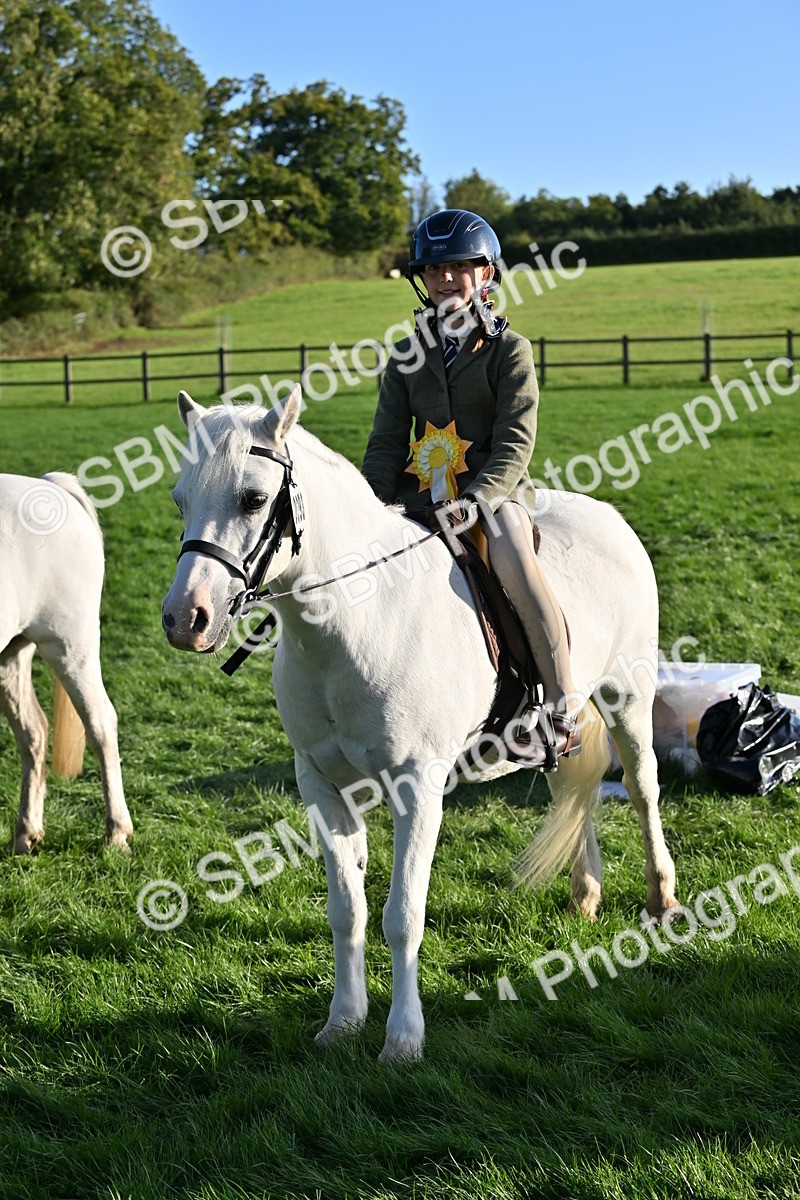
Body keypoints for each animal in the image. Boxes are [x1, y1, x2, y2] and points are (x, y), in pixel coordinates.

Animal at [0, 472, 133, 854]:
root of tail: (51, 484)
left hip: (71, 647)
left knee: (101, 724)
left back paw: (117, 833)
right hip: (11, 655)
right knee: (32, 732)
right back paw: (25, 833)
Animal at [162, 387, 678, 1062]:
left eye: (252, 498)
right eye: (180, 498)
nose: (185, 618)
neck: (353, 624)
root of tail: (609, 518)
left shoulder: (416, 789)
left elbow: (402, 914)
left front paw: (403, 1040)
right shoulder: (323, 786)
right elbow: (347, 912)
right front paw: (342, 1023)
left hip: (628, 696)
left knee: (642, 790)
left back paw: (662, 898)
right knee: (576, 786)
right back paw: (585, 892)